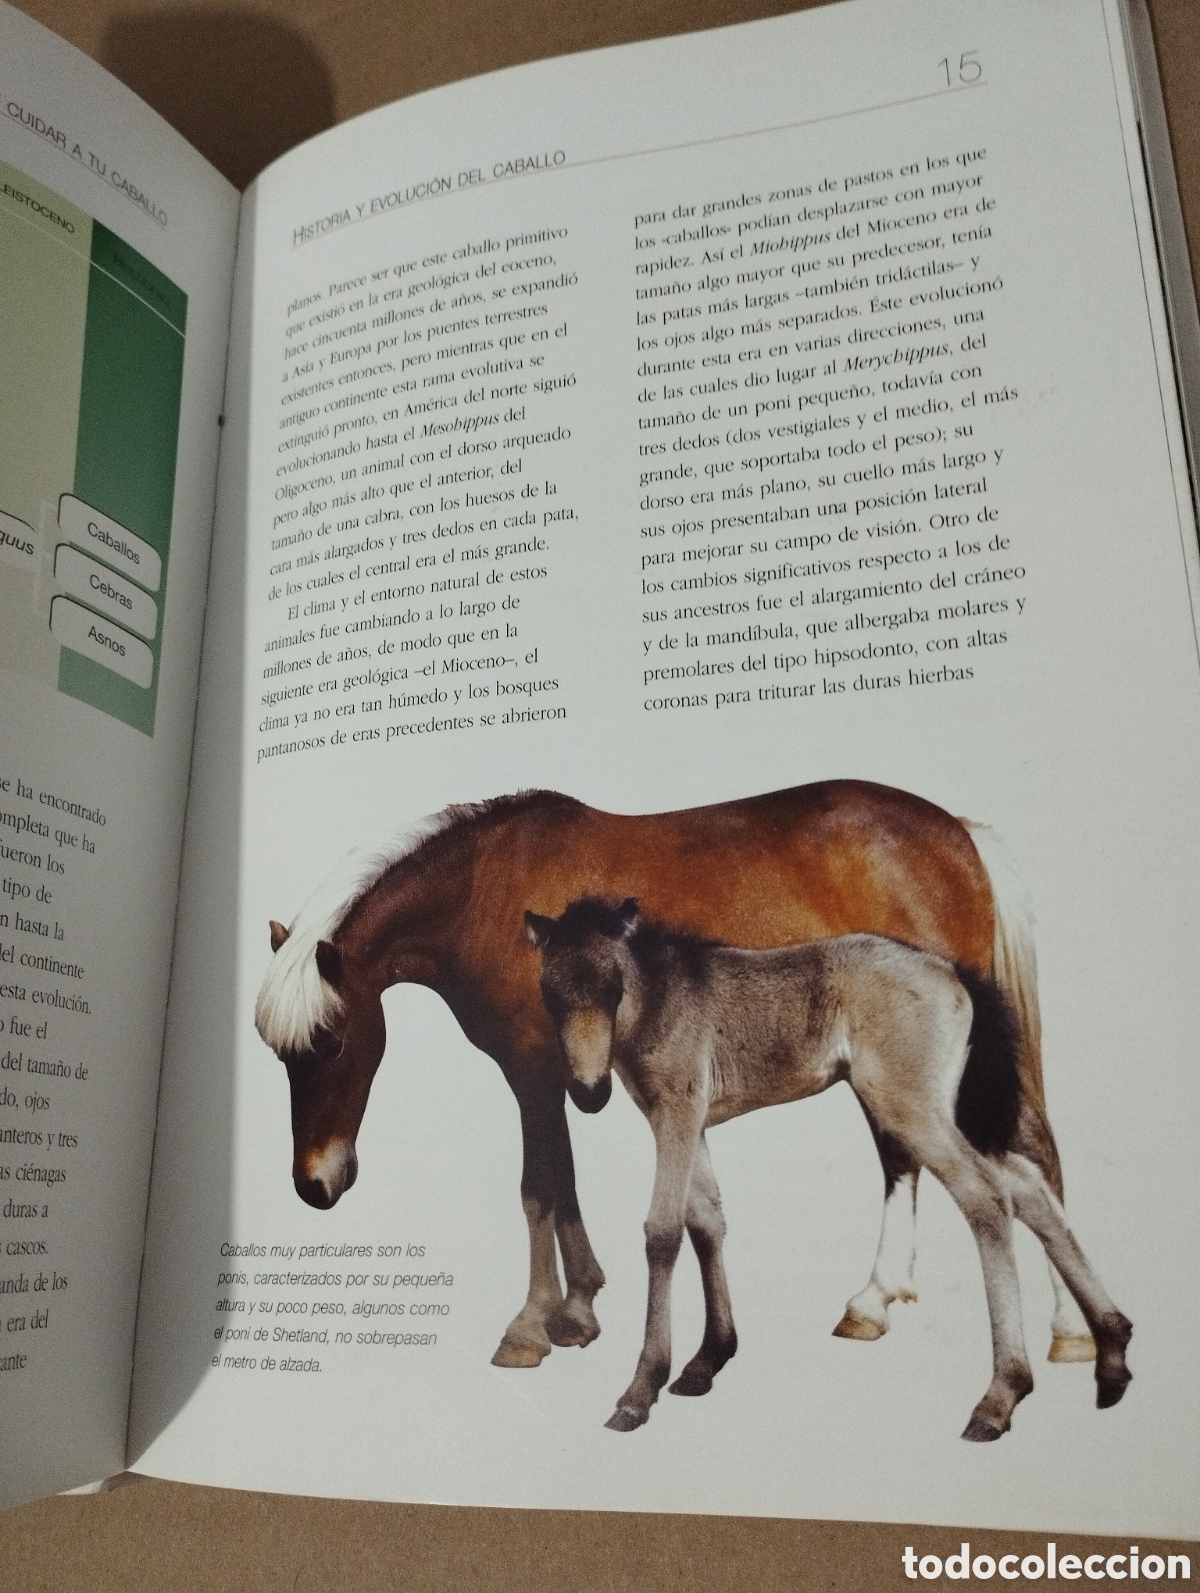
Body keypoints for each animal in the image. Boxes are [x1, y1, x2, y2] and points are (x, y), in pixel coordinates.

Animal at [253, 781, 1094, 1371]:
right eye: (281, 1054)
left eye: (331, 1041)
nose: (314, 1185)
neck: (489, 893)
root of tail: (958, 830)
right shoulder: (560, 1076)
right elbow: (563, 1185)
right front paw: (579, 1308)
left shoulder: (531, 1073)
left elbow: (538, 1189)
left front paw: (533, 1325)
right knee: (921, 1157)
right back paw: (880, 1301)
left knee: (1020, 1155)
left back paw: (1068, 1327)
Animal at [525, 896, 1132, 1439]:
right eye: (550, 995)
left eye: (613, 988)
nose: (589, 1093)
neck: (662, 997)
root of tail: (953, 971)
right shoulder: (688, 1121)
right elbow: (708, 1220)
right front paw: (708, 1361)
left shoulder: (676, 1111)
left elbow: (663, 1231)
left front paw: (640, 1390)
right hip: (940, 1111)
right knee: (1030, 1190)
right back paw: (1111, 1353)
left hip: (910, 1109)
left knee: (987, 1195)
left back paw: (1001, 1395)